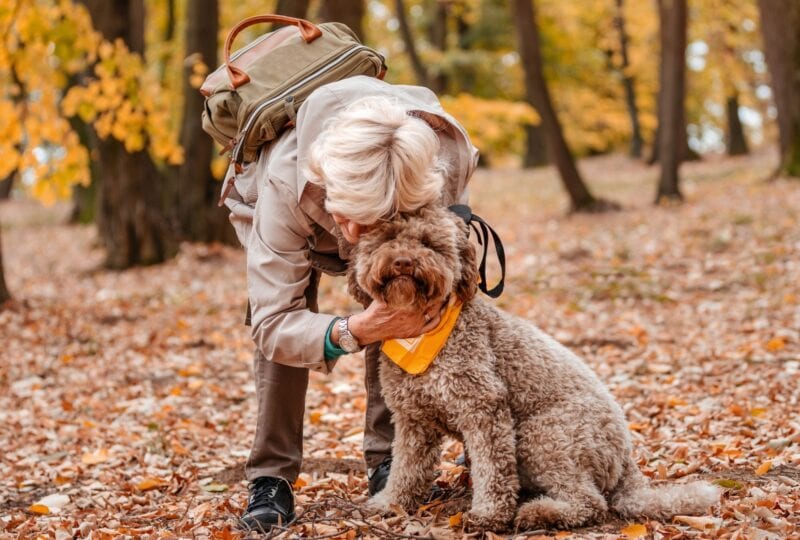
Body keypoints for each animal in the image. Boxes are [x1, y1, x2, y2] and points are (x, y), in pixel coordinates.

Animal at [350, 206, 720, 532]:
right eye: (387, 239)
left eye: (428, 243)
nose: (403, 261)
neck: (423, 334)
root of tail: (627, 457)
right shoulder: (413, 420)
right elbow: (406, 467)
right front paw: (391, 502)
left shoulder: (484, 409)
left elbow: (493, 470)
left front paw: (488, 515)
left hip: (542, 435)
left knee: (590, 502)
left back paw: (538, 513)